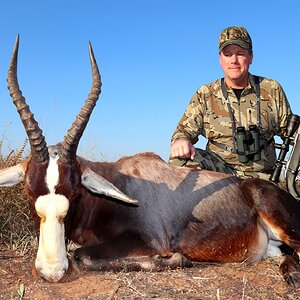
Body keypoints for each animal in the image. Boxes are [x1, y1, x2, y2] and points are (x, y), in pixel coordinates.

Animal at [0, 35, 300, 286]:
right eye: (29, 192)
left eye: (75, 193)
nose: (52, 271)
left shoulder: (149, 240)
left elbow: (81, 256)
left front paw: (177, 259)